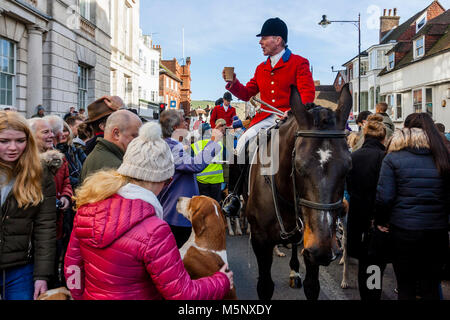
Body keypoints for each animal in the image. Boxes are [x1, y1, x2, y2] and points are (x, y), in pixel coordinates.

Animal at [246, 83, 352, 300]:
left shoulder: (311, 243)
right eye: (298, 167)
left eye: (348, 168)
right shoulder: (260, 242)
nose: (323, 250)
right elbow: (265, 286)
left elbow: (312, 287)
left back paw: (295, 271)